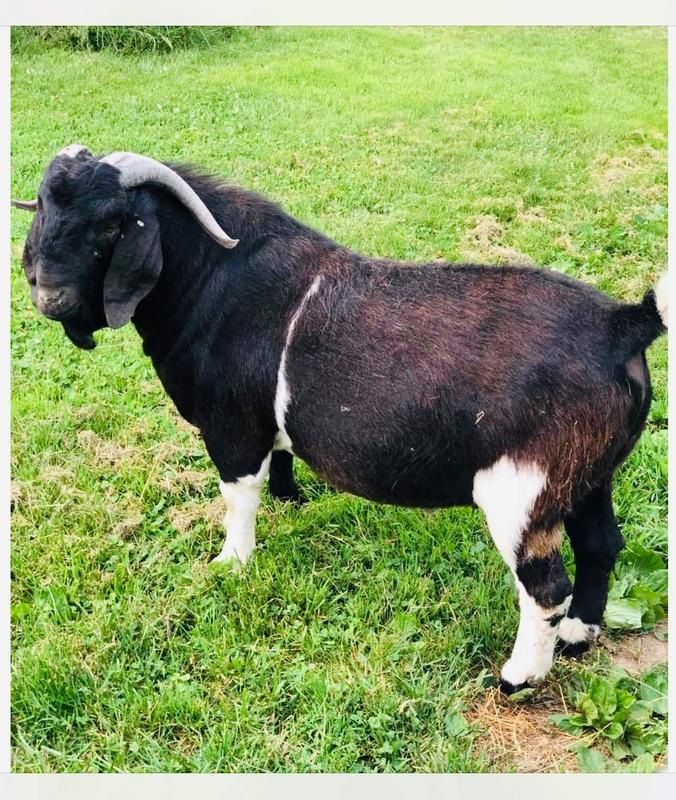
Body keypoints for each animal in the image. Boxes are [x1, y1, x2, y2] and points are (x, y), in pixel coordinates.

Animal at [12, 144, 668, 693]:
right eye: (44, 206)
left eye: (113, 223)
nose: (49, 297)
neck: (216, 278)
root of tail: (624, 324)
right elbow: (278, 464)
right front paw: (291, 500)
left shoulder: (231, 427)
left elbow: (238, 495)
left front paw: (231, 563)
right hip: (589, 478)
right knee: (602, 547)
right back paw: (579, 635)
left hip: (521, 492)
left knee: (545, 586)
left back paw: (519, 676)